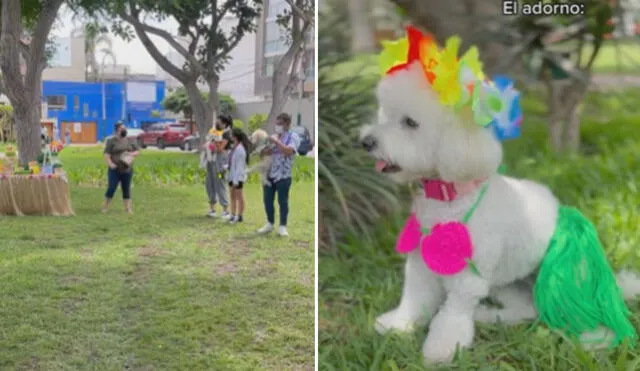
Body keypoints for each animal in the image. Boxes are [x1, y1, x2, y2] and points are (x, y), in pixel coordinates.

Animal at [360, 60, 640, 364]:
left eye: (410, 123)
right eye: (385, 114)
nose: (366, 141)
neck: (451, 199)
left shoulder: (468, 278)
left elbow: (452, 316)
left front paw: (442, 350)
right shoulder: (422, 265)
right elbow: (415, 299)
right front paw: (399, 325)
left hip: (566, 274)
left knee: (582, 313)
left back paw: (595, 340)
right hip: (508, 281)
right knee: (526, 308)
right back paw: (488, 316)